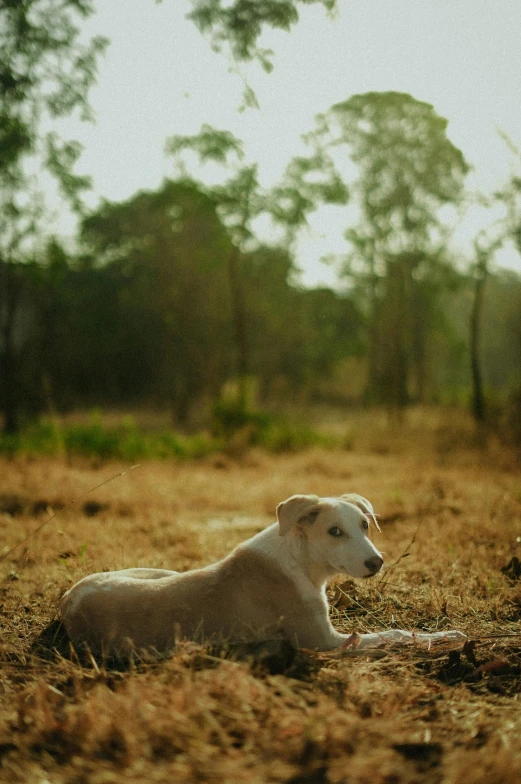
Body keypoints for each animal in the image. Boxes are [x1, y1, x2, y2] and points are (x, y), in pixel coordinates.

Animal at [61, 496, 464, 656]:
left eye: (365, 525)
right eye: (334, 532)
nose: (376, 563)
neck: (297, 557)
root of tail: (68, 600)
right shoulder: (325, 642)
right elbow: (395, 633)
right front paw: (445, 635)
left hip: (157, 571)